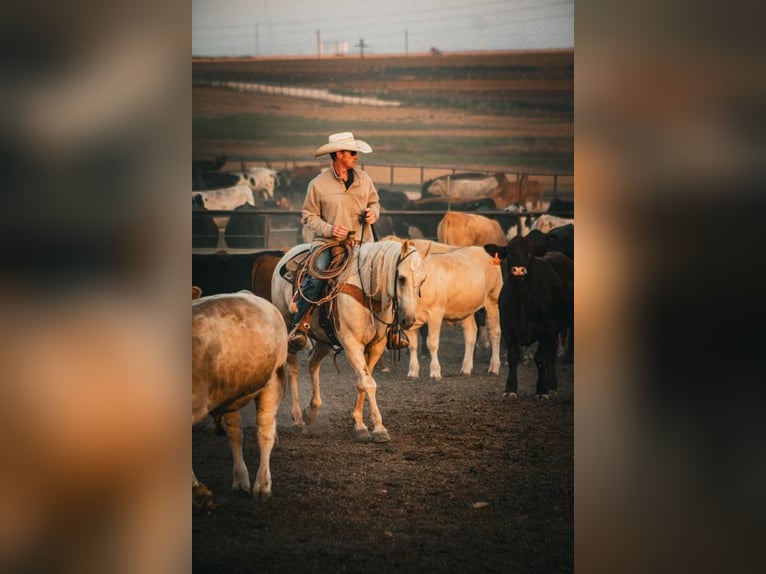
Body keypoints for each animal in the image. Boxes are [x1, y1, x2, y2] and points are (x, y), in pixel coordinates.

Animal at [192, 294, 288, 510]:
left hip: (273, 379)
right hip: (232, 394)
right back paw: (241, 481)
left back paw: (262, 485)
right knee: (236, 434)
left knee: (265, 431)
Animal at [270, 241, 426, 444]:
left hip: (324, 338)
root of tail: (289, 253)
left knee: (313, 363)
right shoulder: (352, 345)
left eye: (422, 281)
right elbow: (369, 383)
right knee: (293, 371)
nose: (409, 320)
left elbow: (362, 382)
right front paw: (378, 429)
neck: (368, 294)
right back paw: (297, 420)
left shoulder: (376, 346)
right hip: (288, 329)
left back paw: (311, 411)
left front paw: (358, 423)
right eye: (401, 278)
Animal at [488, 232, 572, 398]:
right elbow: (513, 357)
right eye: (509, 253)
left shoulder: (546, 329)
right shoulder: (508, 328)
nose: (518, 270)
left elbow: (540, 358)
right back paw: (553, 385)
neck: (523, 300)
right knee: (551, 354)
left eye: (530, 254)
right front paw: (510, 389)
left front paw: (541, 390)